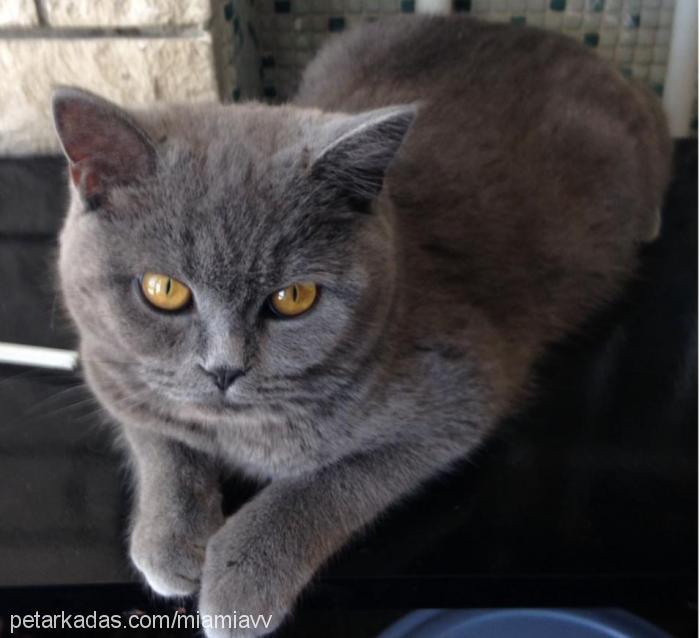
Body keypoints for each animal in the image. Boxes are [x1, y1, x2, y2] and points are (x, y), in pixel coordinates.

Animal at [52, 13, 668, 638]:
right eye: (164, 290)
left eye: (293, 297)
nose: (224, 369)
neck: (243, 433)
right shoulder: (108, 371)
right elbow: (160, 441)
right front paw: (169, 540)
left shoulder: (457, 399)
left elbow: (324, 484)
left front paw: (239, 580)